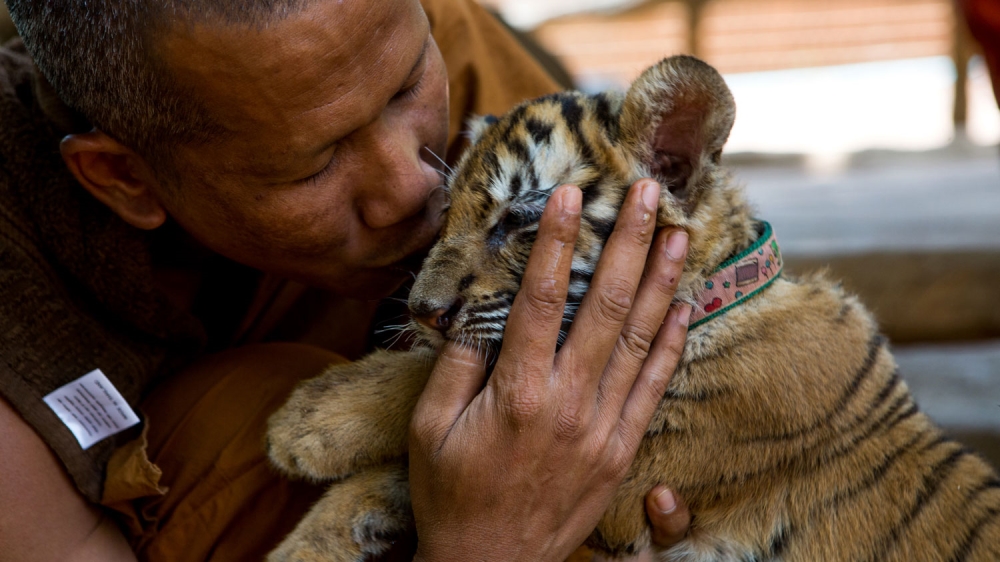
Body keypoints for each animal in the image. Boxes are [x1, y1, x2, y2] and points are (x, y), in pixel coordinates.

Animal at [264, 55, 1000, 562]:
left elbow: (435, 389)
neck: (714, 292)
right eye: (448, 216)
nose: (421, 311)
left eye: (519, 218)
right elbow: (400, 474)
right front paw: (303, 537)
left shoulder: (637, 464)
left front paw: (304, 423)